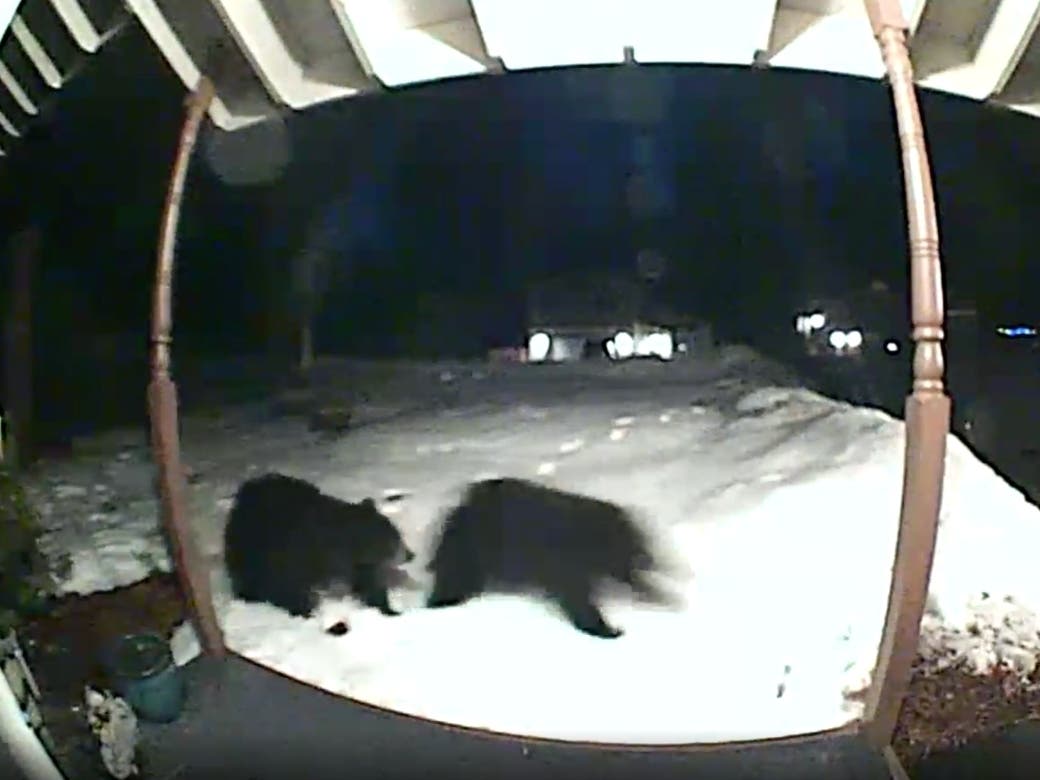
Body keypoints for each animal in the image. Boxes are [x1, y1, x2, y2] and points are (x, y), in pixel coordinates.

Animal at [223, 472, 413, 618]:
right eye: (395, 538)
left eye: (397, 533)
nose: (411, 554)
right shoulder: (291, 556)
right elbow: (288, 588)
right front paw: (305, 612)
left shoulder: (357, 565)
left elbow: (370, 586)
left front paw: (389, 610)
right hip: (247, 543)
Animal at [424, 477, 669, 639]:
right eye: (634, 544)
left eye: (642, 541)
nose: (650, 560)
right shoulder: (562, 563)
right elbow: (577, 600)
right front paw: (607, 629)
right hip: (472, 551)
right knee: (456, 579)